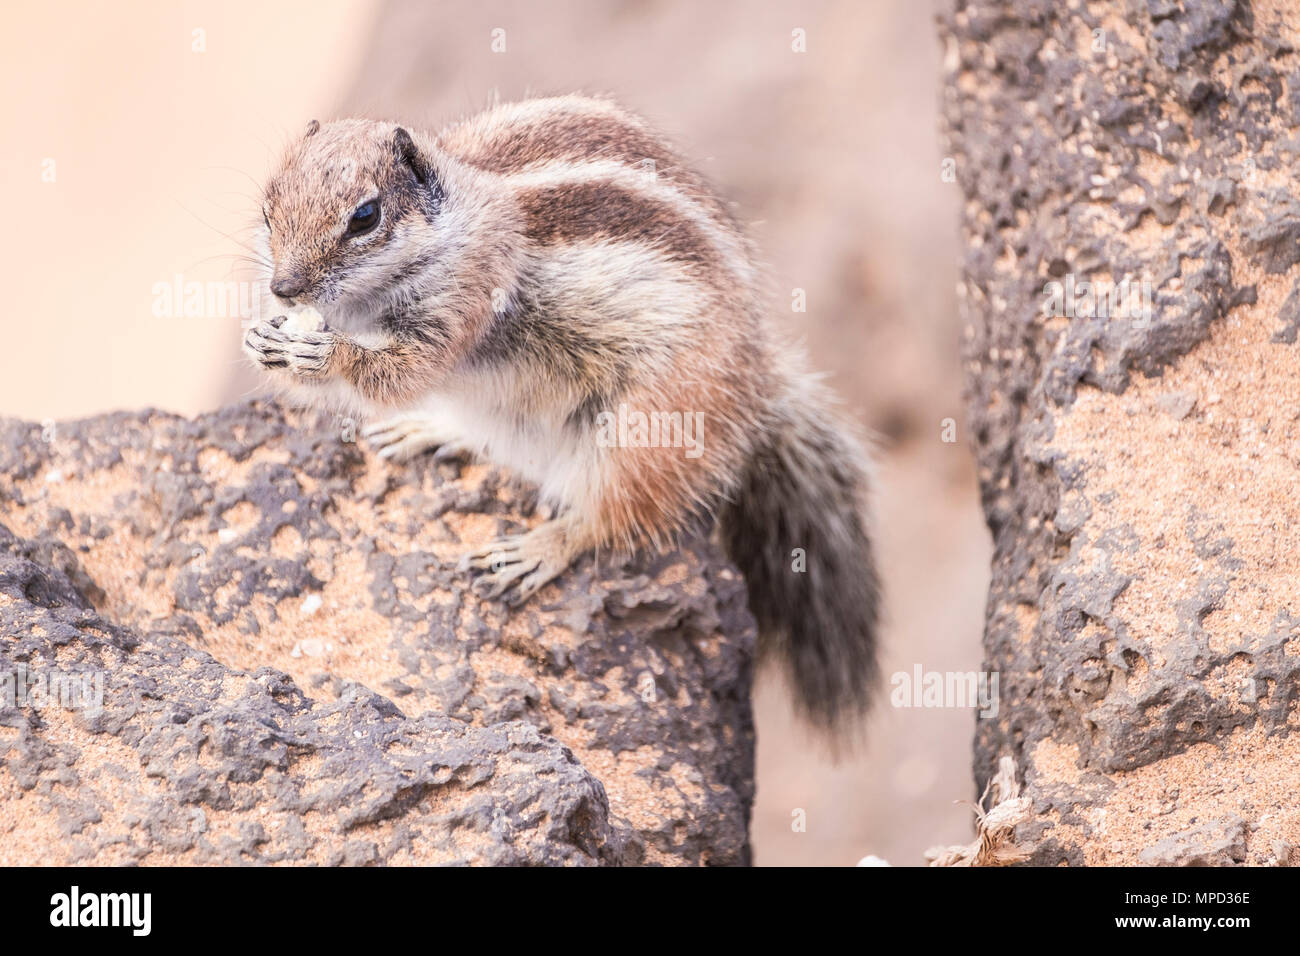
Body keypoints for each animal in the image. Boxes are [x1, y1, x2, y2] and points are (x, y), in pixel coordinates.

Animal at [242, 94, 880, 733]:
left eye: (366, 217)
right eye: (269, 204)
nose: (284, 288)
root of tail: (757, 388)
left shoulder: (464, 299)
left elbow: (402, 373)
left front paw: (324, 355)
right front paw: (264, 339)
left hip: (648, 427)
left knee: (612, 514)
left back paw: (533, 550)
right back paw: (433, 431)